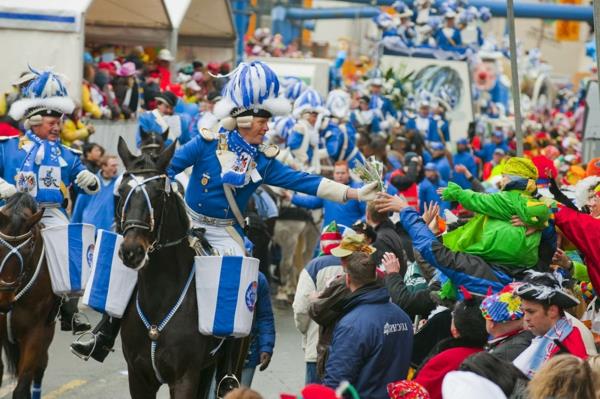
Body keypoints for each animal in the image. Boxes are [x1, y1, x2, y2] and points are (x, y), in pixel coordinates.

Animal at [115, 138, 246, 399]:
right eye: (122, 191)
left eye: (157, 194)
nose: (132, 251)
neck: (159, 298)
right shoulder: (138, 378)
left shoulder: (184, 378)